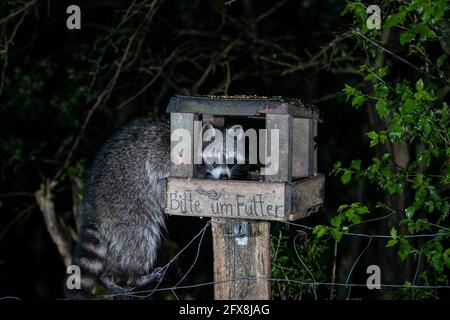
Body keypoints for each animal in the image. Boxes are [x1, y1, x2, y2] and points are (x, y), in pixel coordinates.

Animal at [64, 118, 244, 300]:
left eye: (231, 160)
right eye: (214, 159)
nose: (224, 177)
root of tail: (92, 201)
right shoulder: (166, 157)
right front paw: (205, 175)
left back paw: (108, 276)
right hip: (126, 205)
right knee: (140, 240)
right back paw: (135, 277)